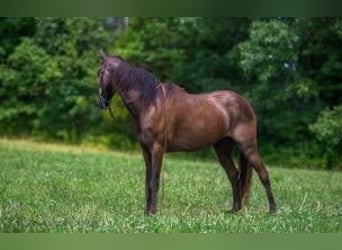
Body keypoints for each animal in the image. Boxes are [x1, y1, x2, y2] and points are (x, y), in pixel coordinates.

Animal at [95, 50, 276, 215]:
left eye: (100, 73)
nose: (101, 102)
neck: (150, 103)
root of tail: (244, 103)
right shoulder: (146, 150)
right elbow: (147, 181)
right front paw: (147, 211)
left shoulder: (157, 148)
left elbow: (154, 181)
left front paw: (153, 212)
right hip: (222, 149)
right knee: (234, 175)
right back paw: (234, 209)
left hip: (248, 146)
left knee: (263, 174)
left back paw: (272, 210)